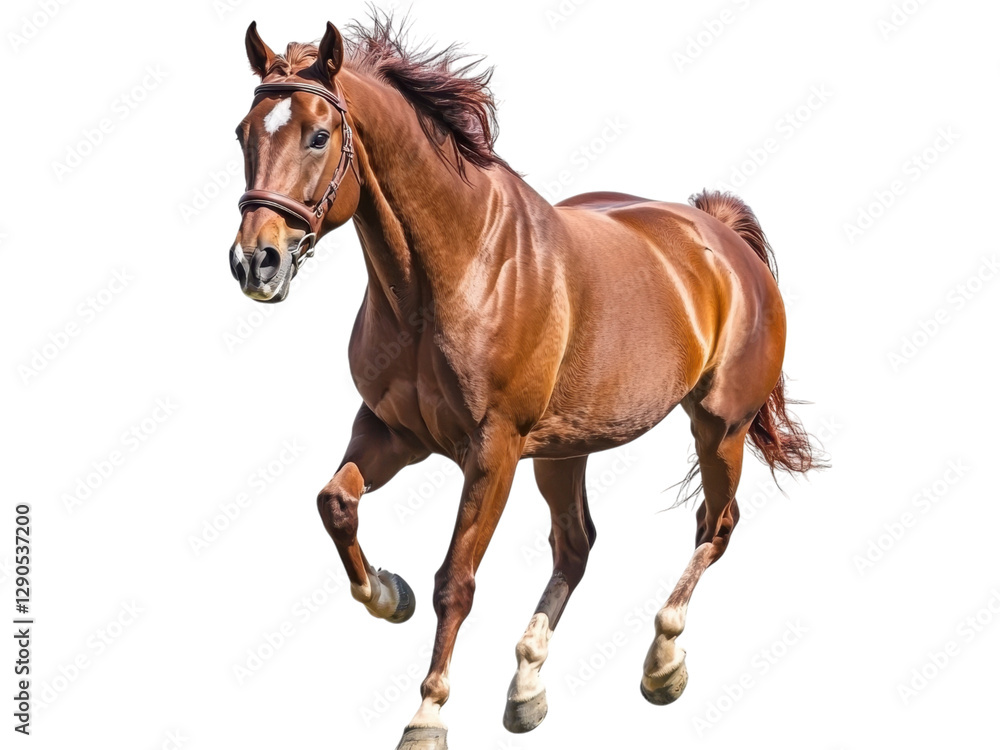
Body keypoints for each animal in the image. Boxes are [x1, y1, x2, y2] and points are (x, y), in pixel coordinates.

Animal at [229, 17, 822, 749]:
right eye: (243, 133)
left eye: (318, 135)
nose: (255, 261)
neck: (454, 270)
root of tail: (722, 238)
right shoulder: (392, 430)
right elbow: (335, 503)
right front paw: (388, 595)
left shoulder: (493, 449)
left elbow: (455, 580)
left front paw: (428, 714)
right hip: (566, 450)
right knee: (576, 546)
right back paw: (527, 685)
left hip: (719, 428)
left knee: (715, 526)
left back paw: (662, 660)